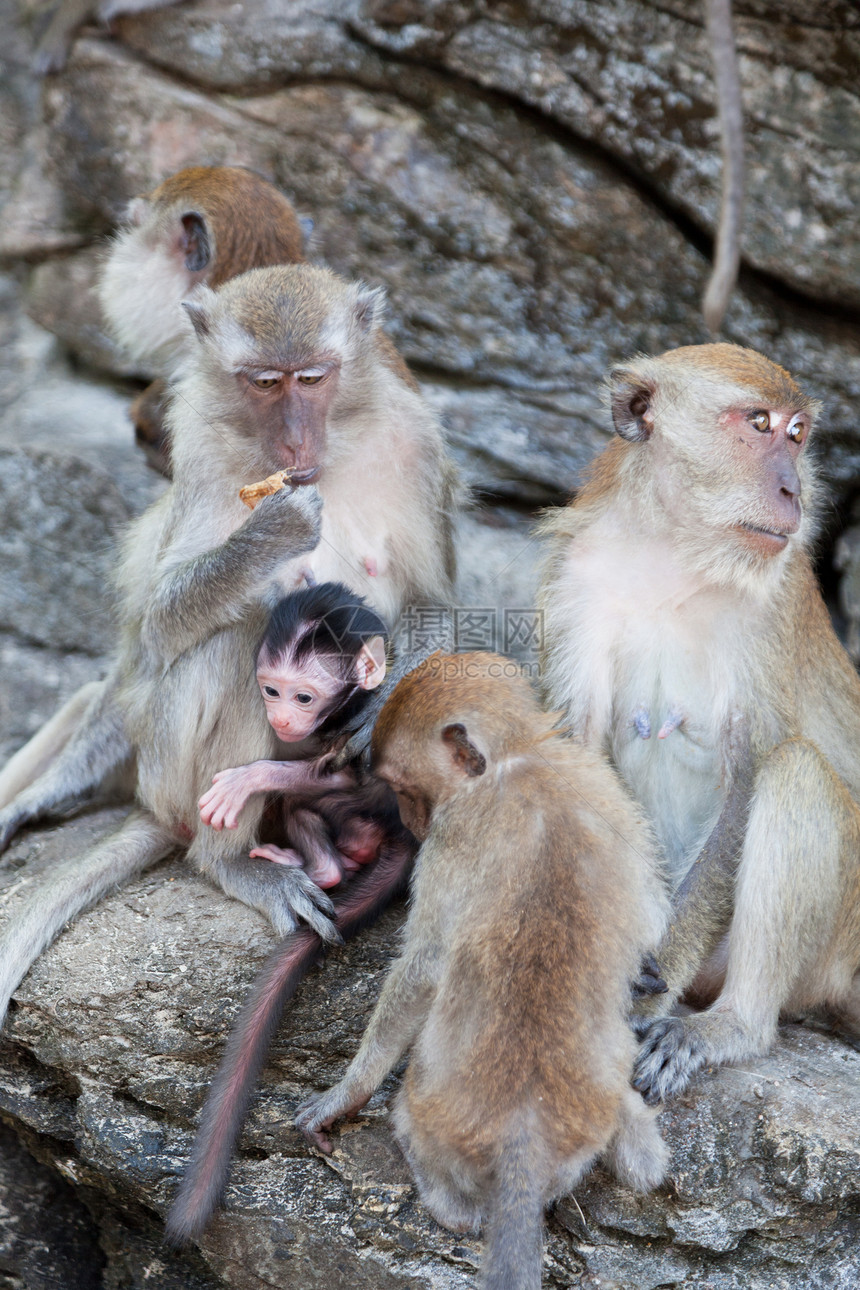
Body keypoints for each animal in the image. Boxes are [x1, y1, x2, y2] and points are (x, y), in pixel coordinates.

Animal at [0, 259, 461, 1026]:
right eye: (264, 383)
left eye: (314, 378)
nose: (295, 445)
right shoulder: (201, 453)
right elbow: (159, 625)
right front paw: (270, 534)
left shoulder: (418, 445)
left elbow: (436, 601)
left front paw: (379, 707)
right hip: (168, 772)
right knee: (231, 639)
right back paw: (228, 859)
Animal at [292, 655, 670, 1290]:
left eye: (403, 788)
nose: (413, 822)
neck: (519, 758)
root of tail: (525, 1134)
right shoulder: (605, 786)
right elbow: (649, 919)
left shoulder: (453, 837)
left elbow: (424, 968)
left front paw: (346, 1092)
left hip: (433, 1114)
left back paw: (444, 1199)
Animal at [538, 345, 860, 1109]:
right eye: (759, 424)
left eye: (797, 434)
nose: (793, 492)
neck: (674, 553)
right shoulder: (575, 581)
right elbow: (575, 757)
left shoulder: (773, 602)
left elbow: (750, 775)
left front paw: (648, 988)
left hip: (838, 948)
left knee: (798, 770)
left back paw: (731, 1026)